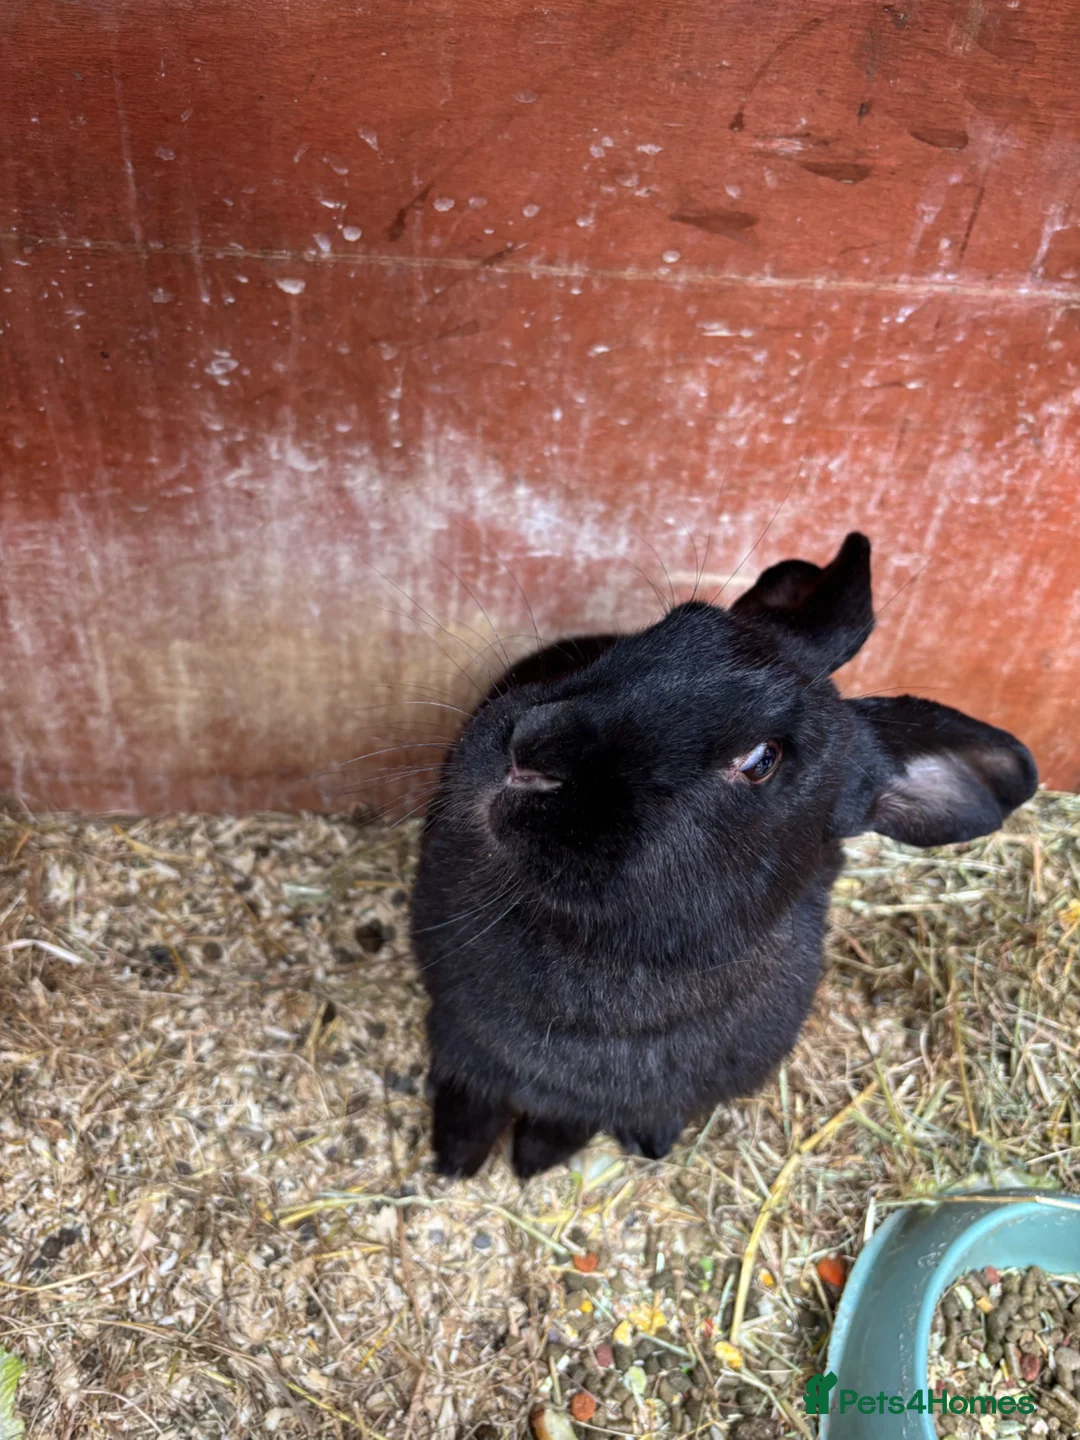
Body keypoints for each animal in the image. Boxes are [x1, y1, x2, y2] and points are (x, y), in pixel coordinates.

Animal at [410, 532, 1037, 1179]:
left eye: (763, 760)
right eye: (673, 625)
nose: (531, 749)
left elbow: (563, 1124)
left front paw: (532, 1161)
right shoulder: (459, 1035)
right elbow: (468, 1097)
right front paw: (455, 1161)